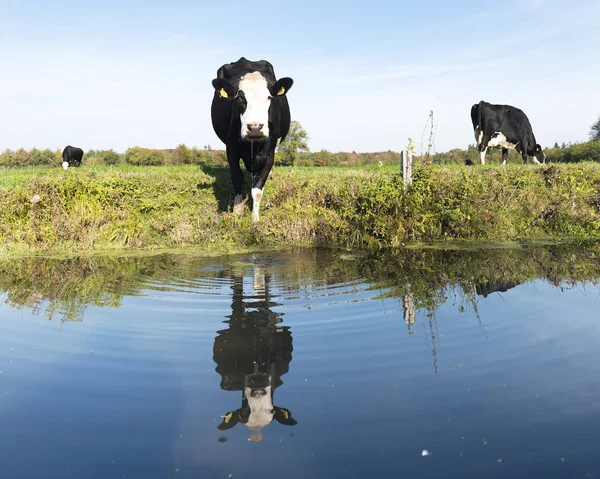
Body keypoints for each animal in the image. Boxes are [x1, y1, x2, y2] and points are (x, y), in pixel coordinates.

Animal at [212, 57, 294, 222]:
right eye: (240, 98)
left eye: (268, 97)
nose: (255, 127)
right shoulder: (231, 148)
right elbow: (237, 179)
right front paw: (238, 211)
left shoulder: (269, 154)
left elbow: (257, 188)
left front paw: (255, 218)